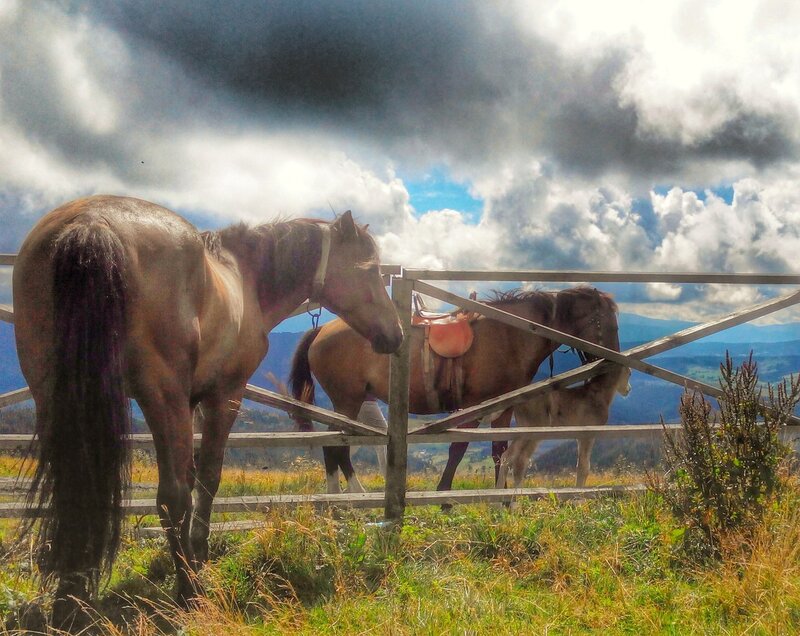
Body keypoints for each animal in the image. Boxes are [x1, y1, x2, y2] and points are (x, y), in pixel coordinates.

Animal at [12, 195, 402, 629]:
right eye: (369, 268)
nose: (396, 334)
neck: (245, 278)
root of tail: (92, 223)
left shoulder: (191, 402)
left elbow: (193, 471)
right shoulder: (223, 396)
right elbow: (207, 480)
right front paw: (198, 558)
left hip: (56, 395)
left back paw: (70, 600)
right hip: (159, 395)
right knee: (171, 498)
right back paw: (187, 591)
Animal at [496, 362, 631, 496]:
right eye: (629, 373)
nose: (628, 389)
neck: (599, 394)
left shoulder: (579, 436)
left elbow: (580, 464)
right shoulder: (588, 434)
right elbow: (584, 467)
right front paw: (579, 496)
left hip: (523, 429)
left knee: (507, 456)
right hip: (533, 430)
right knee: (520, 460)